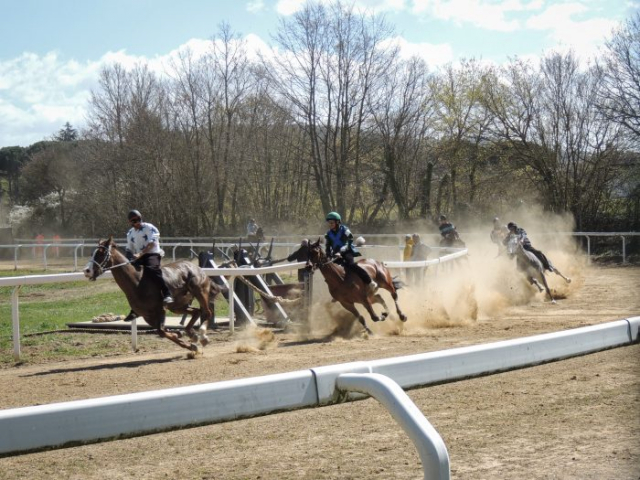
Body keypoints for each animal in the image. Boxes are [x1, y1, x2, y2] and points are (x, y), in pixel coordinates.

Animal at [83, 237, 222, 356]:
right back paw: (192, 334)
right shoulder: (147, 316)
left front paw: (190, 342)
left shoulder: (160, 310)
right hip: (177, 306)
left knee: (207, 312)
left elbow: (161, 331)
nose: (87, 271)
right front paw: (186, 340)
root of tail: (197, 267)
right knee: (196, 311)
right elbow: (162, 332)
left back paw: (203, 336)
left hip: (200, 292)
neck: (137, 282)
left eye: (101, 253)